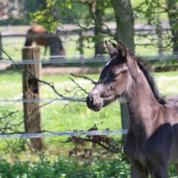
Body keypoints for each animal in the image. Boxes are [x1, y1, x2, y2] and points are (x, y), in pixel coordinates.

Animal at [86, 41, 178, 177]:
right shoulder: (136, 167)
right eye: (101, 72)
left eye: (115, 74)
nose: (91, 100)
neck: (151, 123)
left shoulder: (160, 167)